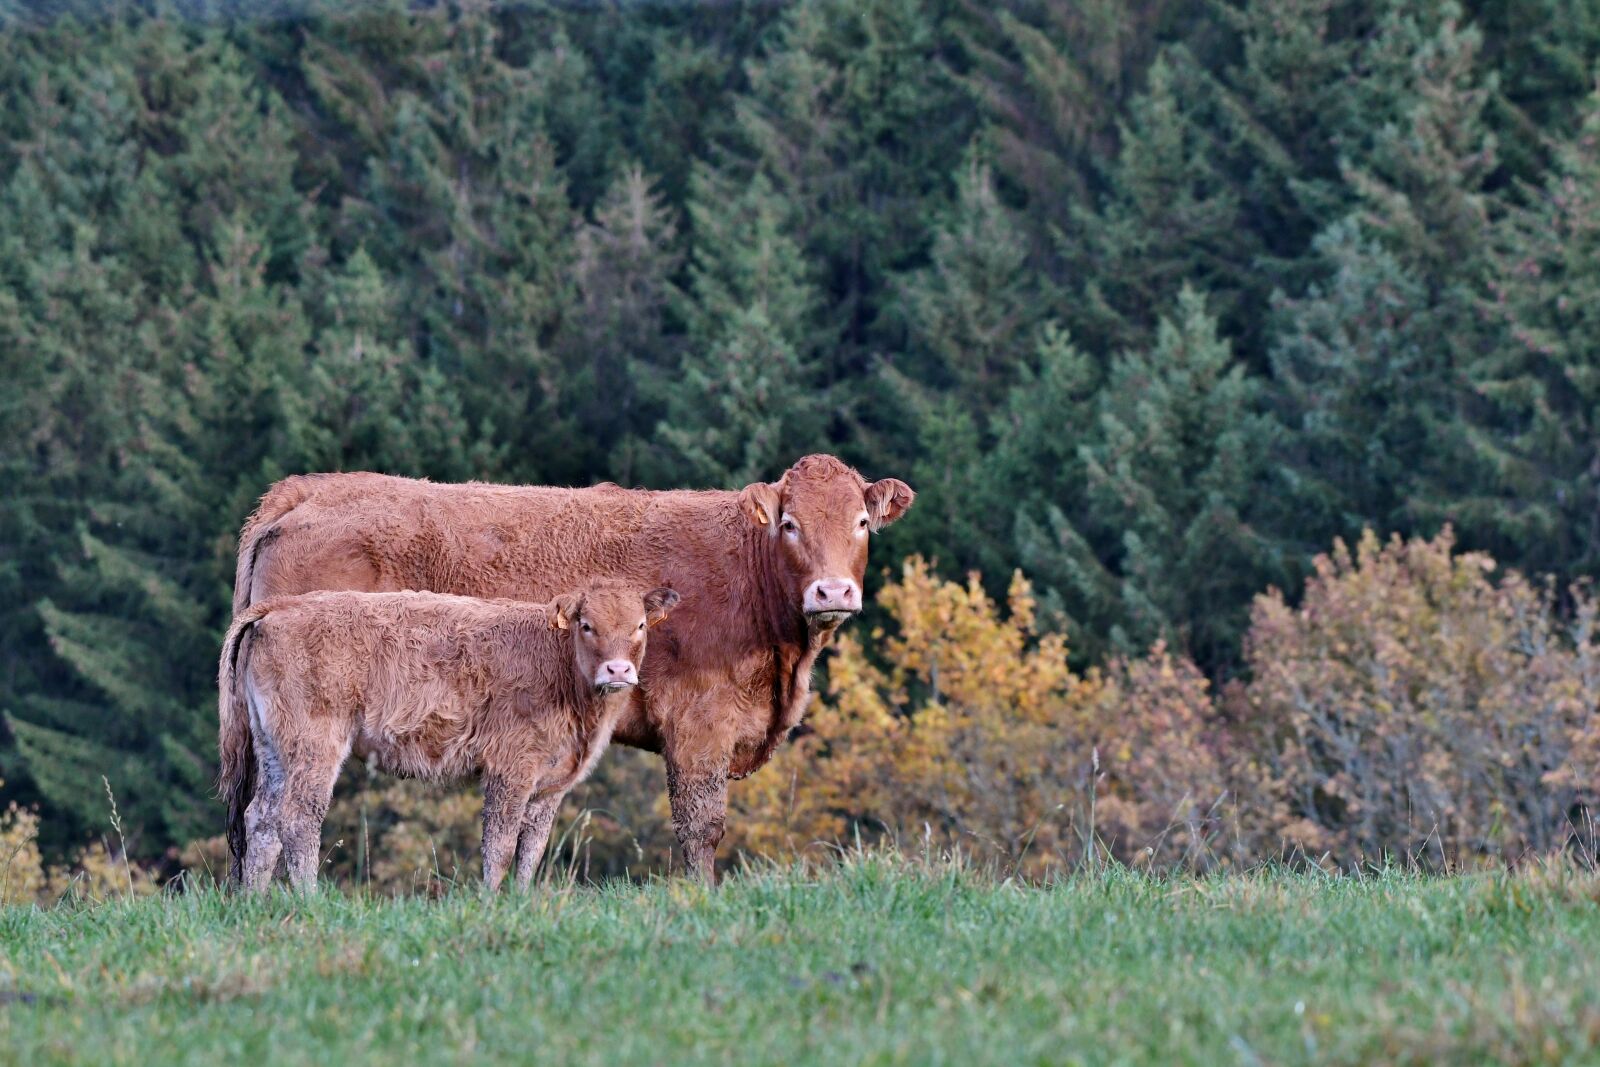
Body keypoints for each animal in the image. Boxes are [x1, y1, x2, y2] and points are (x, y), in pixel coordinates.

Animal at [218, 582, 679, 892]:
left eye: (640, 625)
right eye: (587, 625)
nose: (617, 670)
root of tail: (285, 605)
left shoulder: (549, 786)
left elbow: (532, 850)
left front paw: (523, 902)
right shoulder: (510, 769)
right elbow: (500, 844)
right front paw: (491, 903)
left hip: (274, 748)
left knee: (261, 819)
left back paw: (255, 901)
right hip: (314, 744)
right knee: (298, 819)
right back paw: (308, 900)